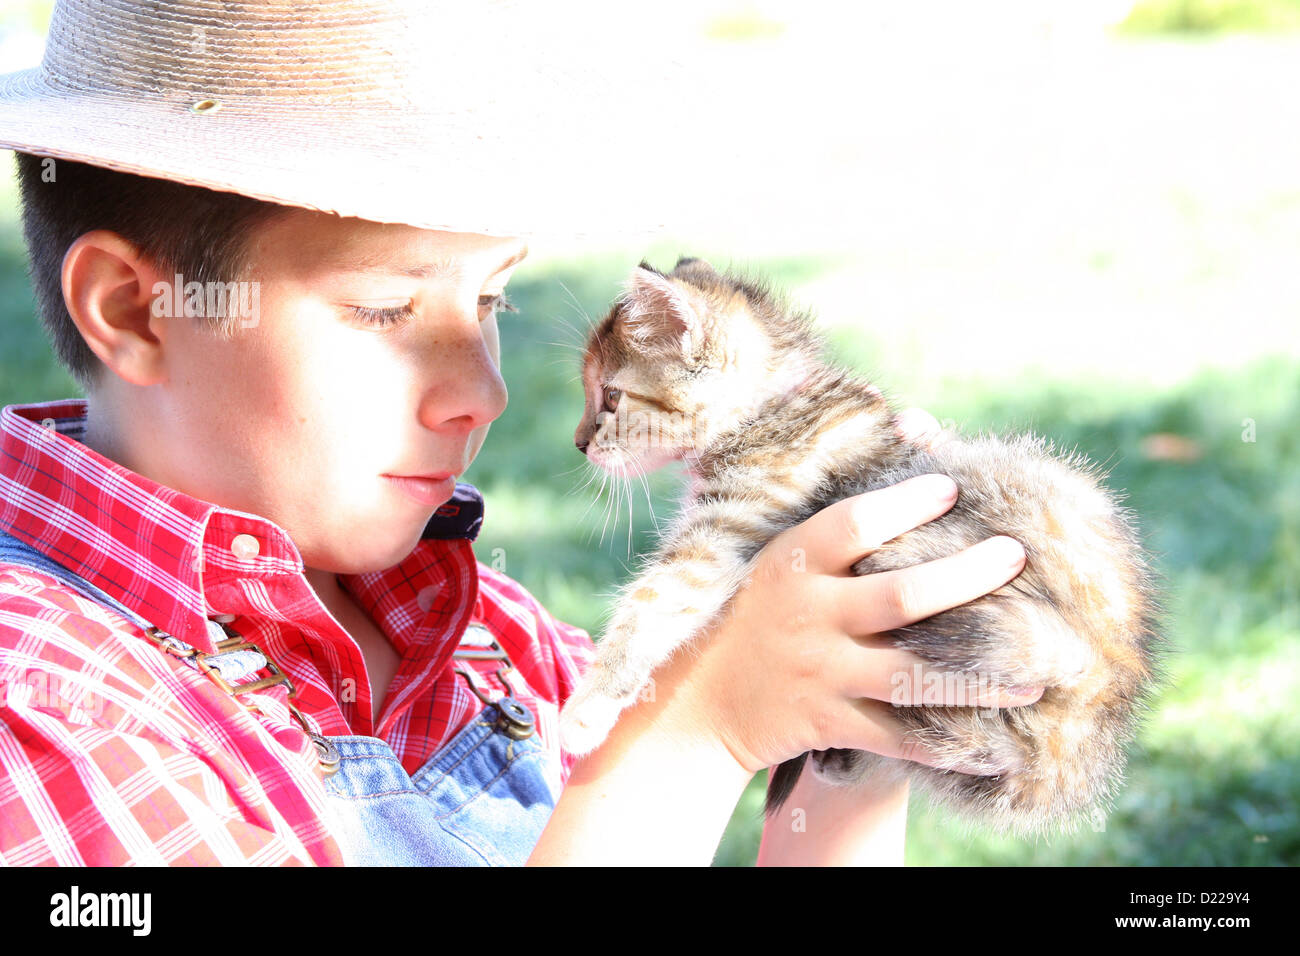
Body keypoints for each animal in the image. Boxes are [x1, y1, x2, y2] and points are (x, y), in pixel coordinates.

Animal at [564, 257, 1164, 832]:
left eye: (611, 396)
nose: (579, 443)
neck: (768, 408)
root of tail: (1104, 687)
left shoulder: (724, 531)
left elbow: (651, 604)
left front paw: (585, 711)